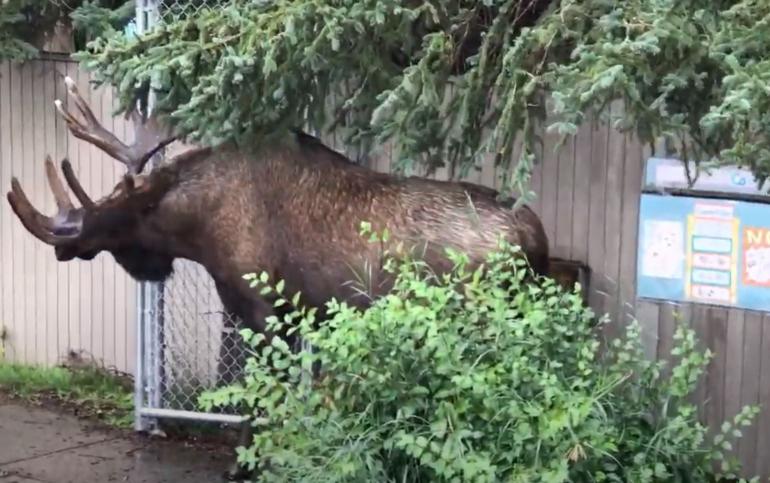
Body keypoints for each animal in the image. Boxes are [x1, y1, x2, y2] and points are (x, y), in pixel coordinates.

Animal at [6, 76, 551, 480]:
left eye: (114, 220)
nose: (64, 244)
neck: (197, 227)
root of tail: (533, 234)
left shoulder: (262, 308)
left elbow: (260, 397)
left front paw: (248, 465)